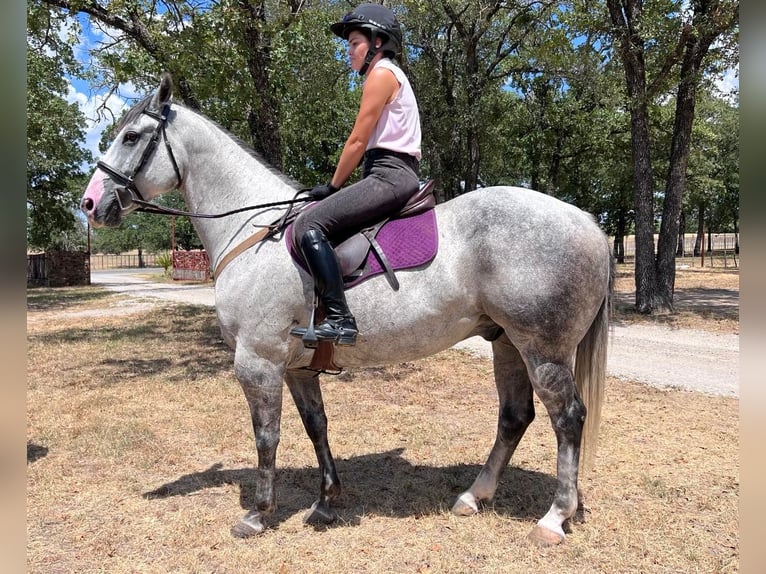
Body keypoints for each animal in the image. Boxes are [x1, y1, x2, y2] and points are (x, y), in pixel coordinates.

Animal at [81, 74, 616, 548]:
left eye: (131, 136)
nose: (90, 204)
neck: (254, 233)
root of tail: (586, 220)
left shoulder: (257, 361)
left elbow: (266, 436)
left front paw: (258, 514)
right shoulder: (296, 368)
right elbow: (315, 426)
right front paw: (327, 501)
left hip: (542, 348)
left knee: (568, 418)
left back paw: (554, 517)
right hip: (506, 342)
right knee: (514, 416)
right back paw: (474, 496)